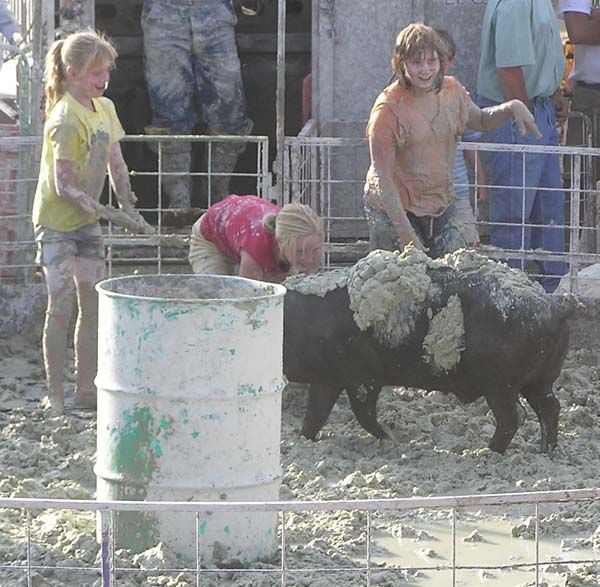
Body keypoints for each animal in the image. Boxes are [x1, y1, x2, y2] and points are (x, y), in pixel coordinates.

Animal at [284, 248, 580, 454]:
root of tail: (557, 306)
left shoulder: (363, 377)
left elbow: (364, 414)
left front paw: (393, 441)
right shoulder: (327, 380)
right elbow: (315, 415)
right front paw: (302, 439)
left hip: (500, 383)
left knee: (513, 417)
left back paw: (485, 452)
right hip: (538, 381)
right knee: (550, 408)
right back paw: (545, 451)